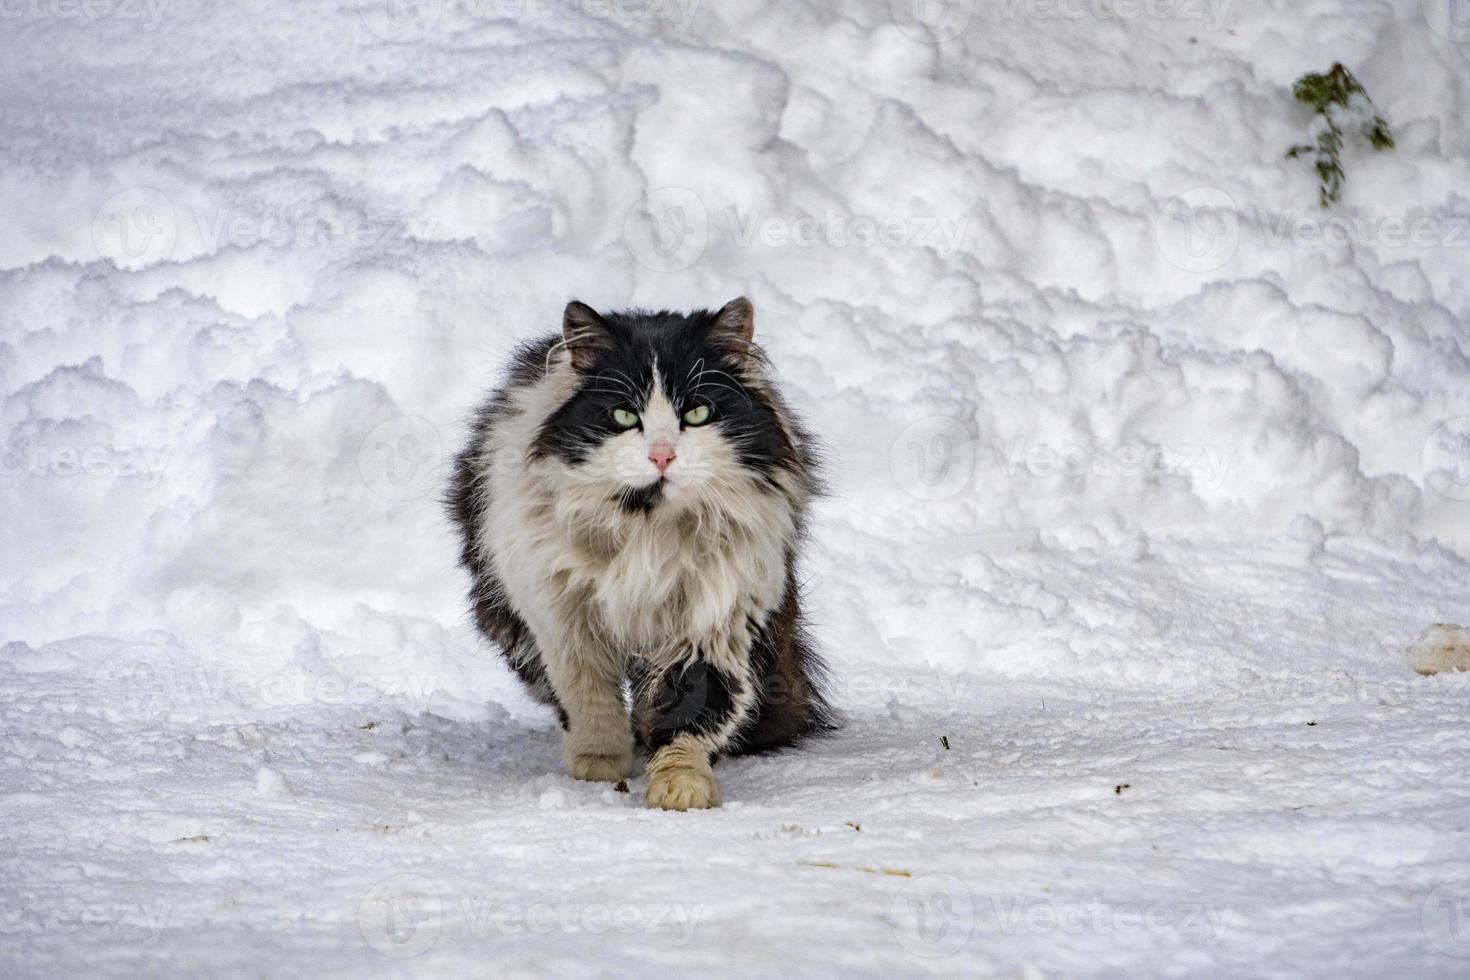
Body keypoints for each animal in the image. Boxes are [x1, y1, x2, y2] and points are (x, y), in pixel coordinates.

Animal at [446, 296, 834, 811]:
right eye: (625, 417)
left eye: (698, 412)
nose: (662, 456)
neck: (648, 527)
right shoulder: (562, 615)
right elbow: (587, 697)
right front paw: (600, 766)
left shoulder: (716, 614)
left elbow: (690, 708)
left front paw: (680, 786)